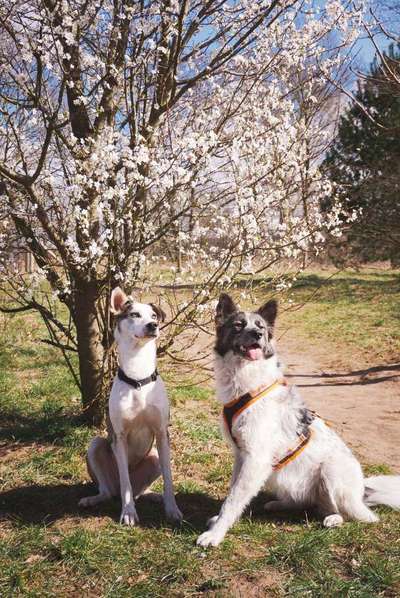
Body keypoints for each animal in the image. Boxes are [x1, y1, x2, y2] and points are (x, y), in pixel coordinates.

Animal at [79, 288, 182, 528]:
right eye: (134, 314)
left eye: (153, 316)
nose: (153, 326)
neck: (138, 378)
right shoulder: (120, 436)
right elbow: (125, 479)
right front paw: (128, 513)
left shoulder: (162, 433)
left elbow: (169, 478)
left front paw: (172, 509)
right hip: (96, 446)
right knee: (112, 490)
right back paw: (93, 499)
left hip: (153, 455)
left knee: (138, 491)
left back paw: (154, 496)